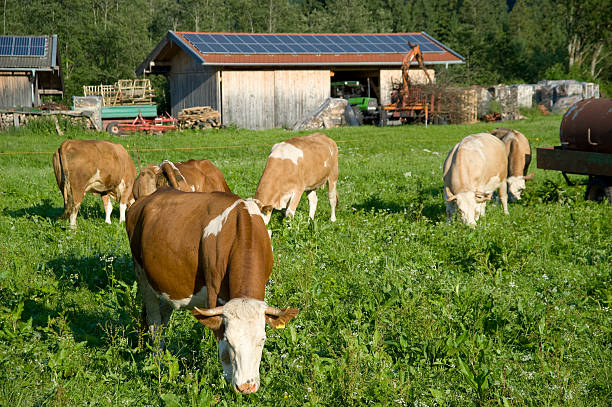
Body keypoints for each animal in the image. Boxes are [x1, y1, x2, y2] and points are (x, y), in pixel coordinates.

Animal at [125, 188, 298, 396]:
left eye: (261, 340)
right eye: (230, 341)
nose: (247, 386)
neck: (242, 227)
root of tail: (145, 199)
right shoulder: (215, 297)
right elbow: (222, 351)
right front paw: (229, 382)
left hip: (166, 286)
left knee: (163, 319)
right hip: (142, 276)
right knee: (154, 323)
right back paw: (158, 362)